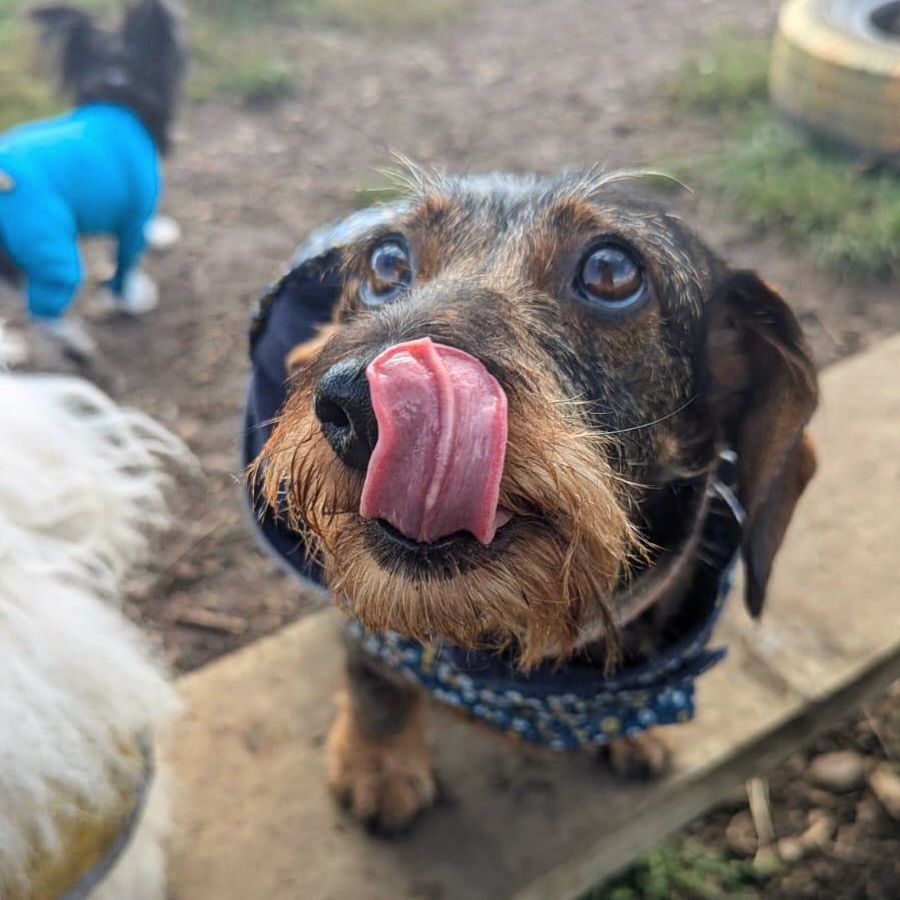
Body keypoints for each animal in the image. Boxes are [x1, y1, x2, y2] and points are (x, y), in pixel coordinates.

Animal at [0, 0, 184, 368]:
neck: (116, 93)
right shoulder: (133, 215)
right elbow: (125, 265)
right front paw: (130, 298)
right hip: (50, 249)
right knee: (42, 313)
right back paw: (76, 343)